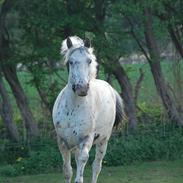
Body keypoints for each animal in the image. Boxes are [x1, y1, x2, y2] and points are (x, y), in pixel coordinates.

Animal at [52, 36, 124, 183]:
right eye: (71, 62)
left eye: (89, 60)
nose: (82, 88)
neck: (72, 109)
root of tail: (109, 87)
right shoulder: (63, 142)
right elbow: (67, 171)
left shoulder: (86, 139)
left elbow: (82, 167)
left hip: (103, 141)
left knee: (96, 166)